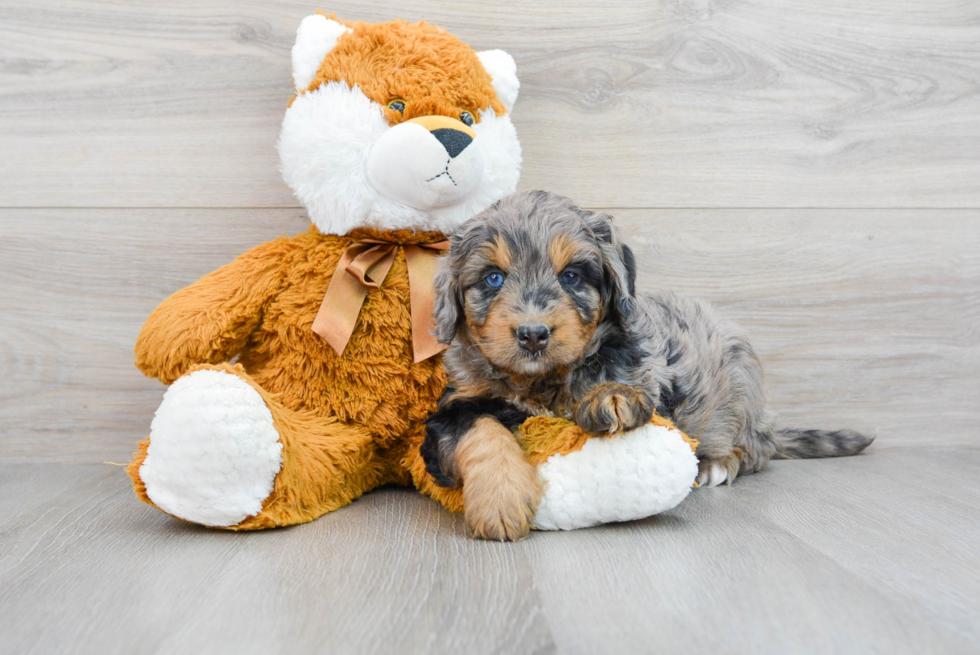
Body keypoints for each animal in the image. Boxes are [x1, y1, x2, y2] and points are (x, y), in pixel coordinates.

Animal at [424, 188, 872, 540]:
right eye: (493, 278)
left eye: (571, 277)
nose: (533, 334)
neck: (541, 382)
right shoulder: (452, 408)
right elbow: (480, 429)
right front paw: (500, 501)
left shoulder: (641, 370)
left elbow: (617, 380)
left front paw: (611, 397)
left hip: (741, 383)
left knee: (755, 449)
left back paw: (718, 464)